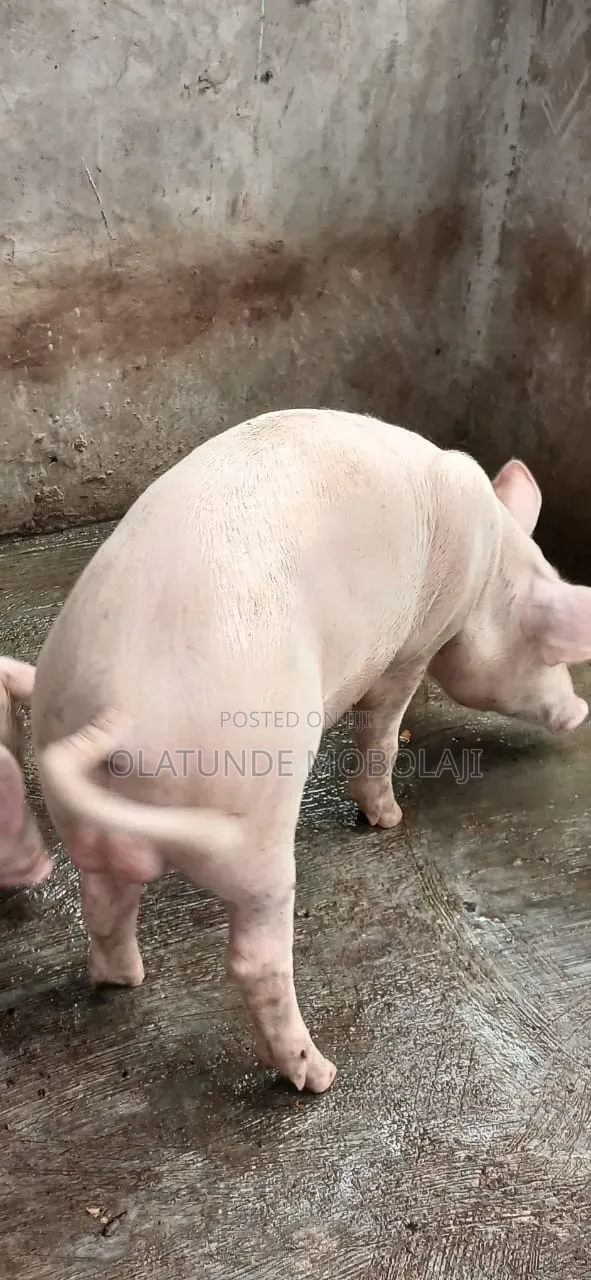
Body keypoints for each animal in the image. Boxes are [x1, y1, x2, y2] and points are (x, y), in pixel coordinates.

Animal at [29, 408, 591, 1093]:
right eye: (550, 647)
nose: (579, 711)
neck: (487, 575)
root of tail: (120, 709)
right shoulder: (415, 641)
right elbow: (384, 723)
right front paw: (388, 818)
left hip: (84, 807)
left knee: (103, 902)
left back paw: (124, 981)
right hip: (254, 816)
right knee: (255, 957)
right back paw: (318, 1075)